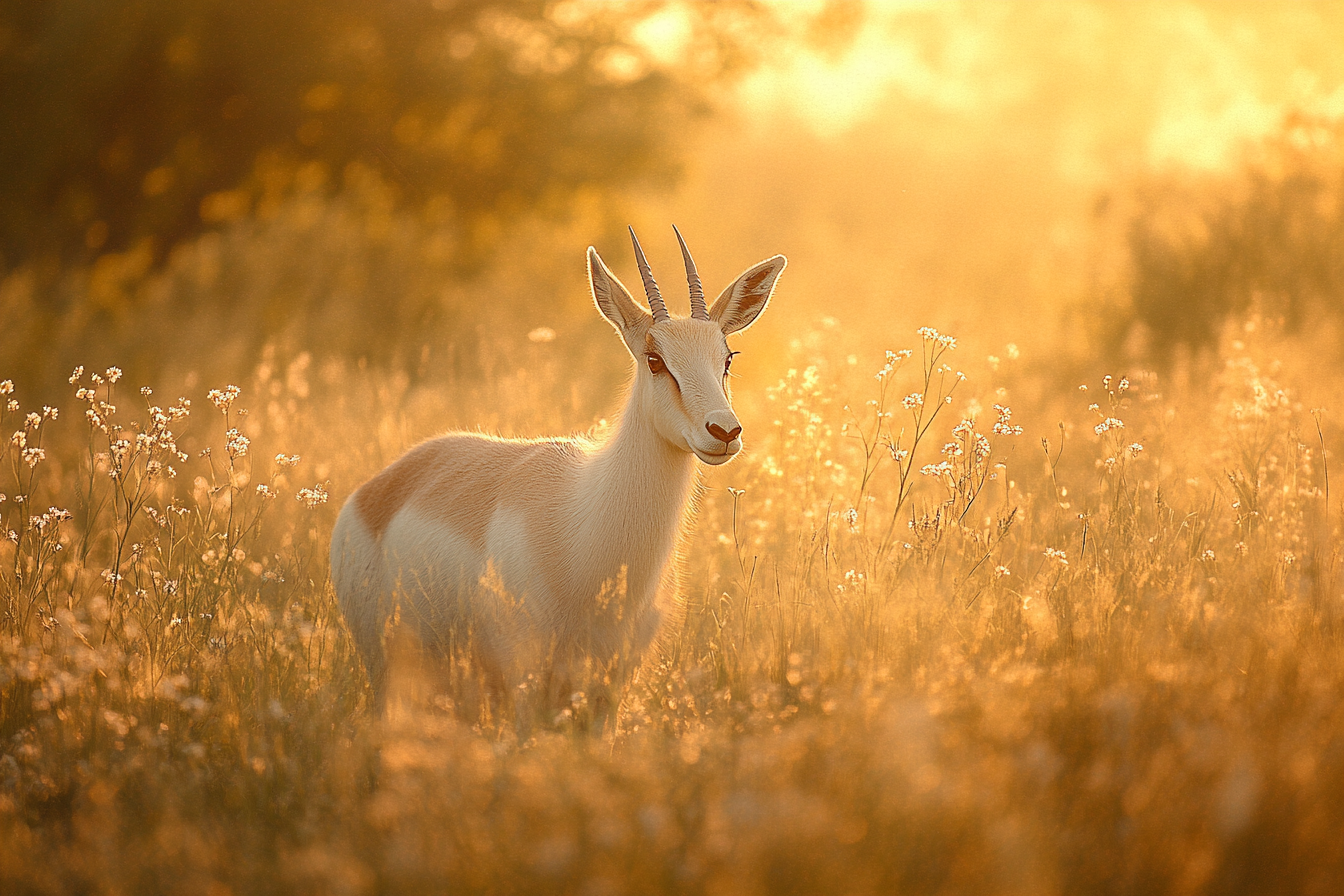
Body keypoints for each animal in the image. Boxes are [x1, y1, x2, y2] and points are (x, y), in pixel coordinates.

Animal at [327, 228, 784, 709]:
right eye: (655, 359)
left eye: (727, 358)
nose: (724, 431)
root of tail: (376, 487)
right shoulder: (526, 682)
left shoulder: (612, 686)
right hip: (388, 668)